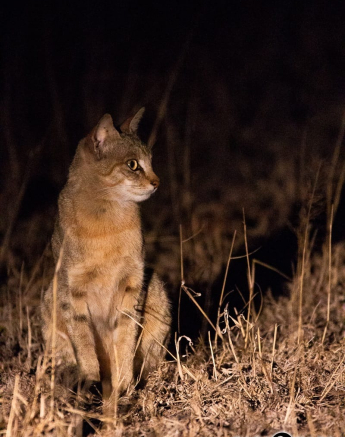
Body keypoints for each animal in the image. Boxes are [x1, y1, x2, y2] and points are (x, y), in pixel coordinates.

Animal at [41, 107, 171, 410]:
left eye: (151, 161)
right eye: (133, 164)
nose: (157, 182)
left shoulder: (132, 283)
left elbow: (125, 339)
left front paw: (122, 386)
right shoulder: (72, 288)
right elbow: (84, 344)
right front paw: (90, 384)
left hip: (156, 290)